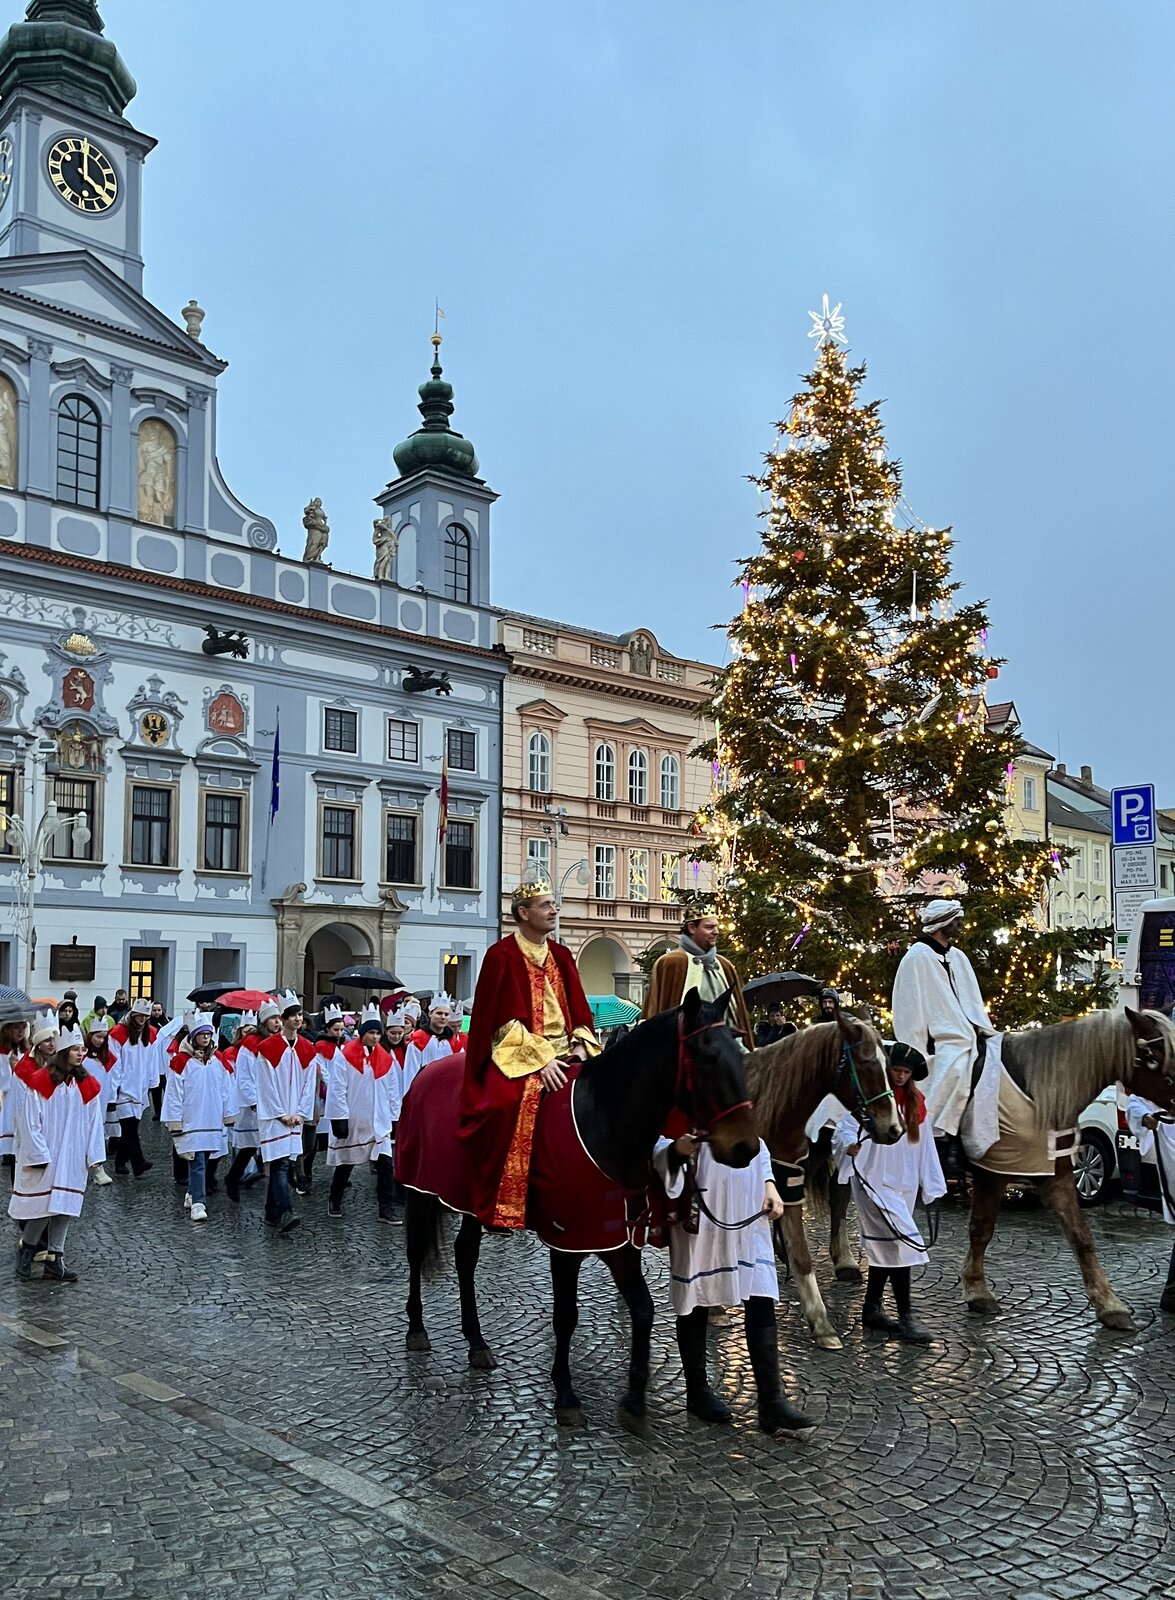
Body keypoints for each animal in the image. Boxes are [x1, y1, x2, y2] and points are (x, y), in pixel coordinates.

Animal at [400, 992, 758, 1433]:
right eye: (706, 1057)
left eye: (740, 1054)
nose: (745, 1147)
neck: (605, 1122)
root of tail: (424, 1072)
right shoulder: (566, 1244)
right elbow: (566, 1315)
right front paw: (566, 1394)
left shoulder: (619, 1242)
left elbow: (643, 1308)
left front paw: (634, 1397)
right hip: (420, 1192)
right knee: (416, 1252)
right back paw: (417, 1328)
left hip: (473, 1203)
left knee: (465, 1255)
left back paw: (477, 1342)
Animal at [749, 1011, 909, 1350]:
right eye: (865, 1064)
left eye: (889, 1065)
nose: (894, 1128)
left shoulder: (788, 1184)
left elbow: (802, 1253)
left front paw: (821, 1322)